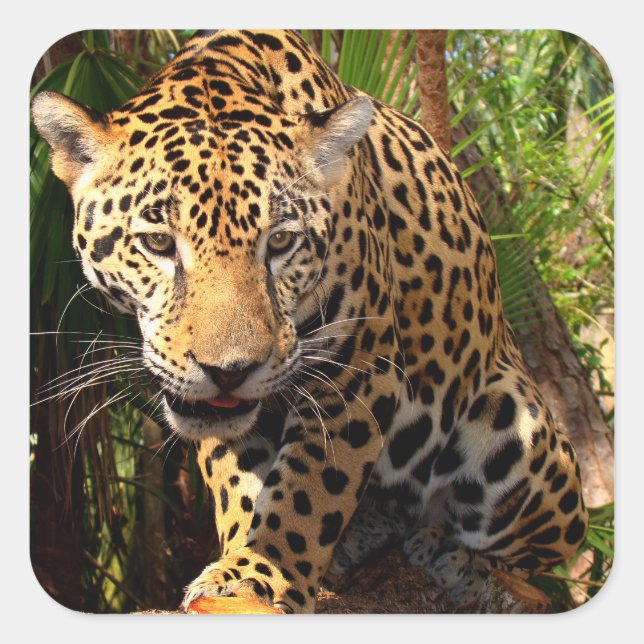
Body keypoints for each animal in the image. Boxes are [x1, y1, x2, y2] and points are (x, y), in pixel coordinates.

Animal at [32, 29, 588, 613]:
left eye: (280, 242)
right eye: (158, 242)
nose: (228, 372)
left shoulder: (358, 373)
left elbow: (311, 491)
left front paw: (258, 575)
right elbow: (241, 486)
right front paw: (240, 562)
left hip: (516, 428)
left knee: (539, 548)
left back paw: (455, 559)